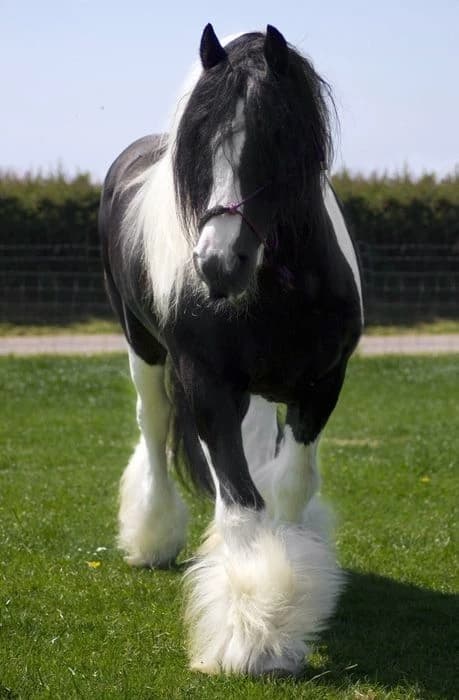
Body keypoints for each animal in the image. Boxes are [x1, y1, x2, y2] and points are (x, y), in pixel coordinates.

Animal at [99, 24, 363, 676]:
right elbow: (242, 501)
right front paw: (256, 632)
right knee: (153, 426)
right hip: (143, 349)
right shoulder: (209, 388)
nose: (217, 263)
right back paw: (152, 537)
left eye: (276, 136)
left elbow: (288, 486)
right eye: (197, 142)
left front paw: (291, 584)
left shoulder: (322, 385)